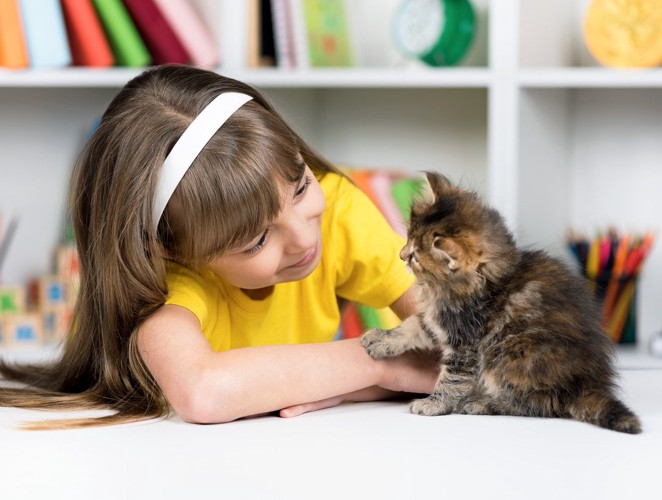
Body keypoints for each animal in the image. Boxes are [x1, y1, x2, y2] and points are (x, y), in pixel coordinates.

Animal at [364, 172, 644, 434]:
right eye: (408, 238)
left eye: (416, 256)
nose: (401, 255)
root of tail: (585, 383)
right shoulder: (439, 321)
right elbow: (412, 325)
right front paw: (381, 339)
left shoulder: (465, 343)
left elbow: (452, 378)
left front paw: (434, 403)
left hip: (508, 357)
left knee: (540, 404)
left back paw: (482, 403)